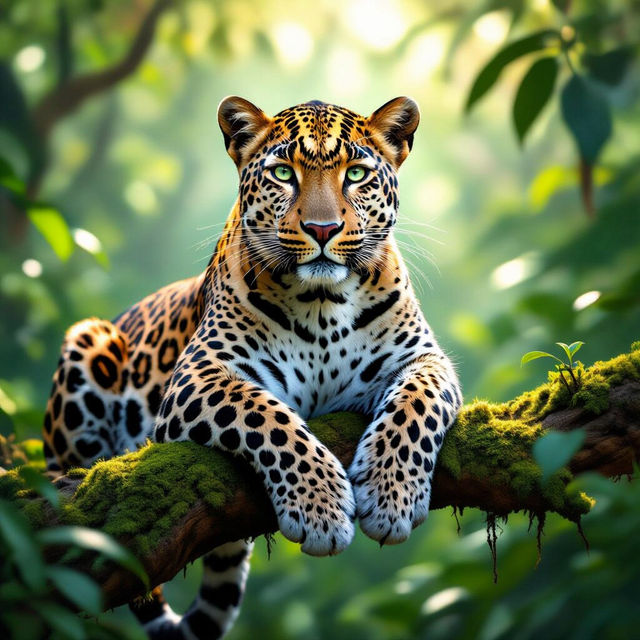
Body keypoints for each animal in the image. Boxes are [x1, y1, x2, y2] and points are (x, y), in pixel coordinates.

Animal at [42, 96, 462, 639]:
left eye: (356, 174)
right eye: (283, 173)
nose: (322, 230)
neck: (323, 302)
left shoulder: (422, 358)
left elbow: (415, 409)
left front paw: (393, 497)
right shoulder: (200, 374)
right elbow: (267, 418)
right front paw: (320, 508)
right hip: (88, 341)